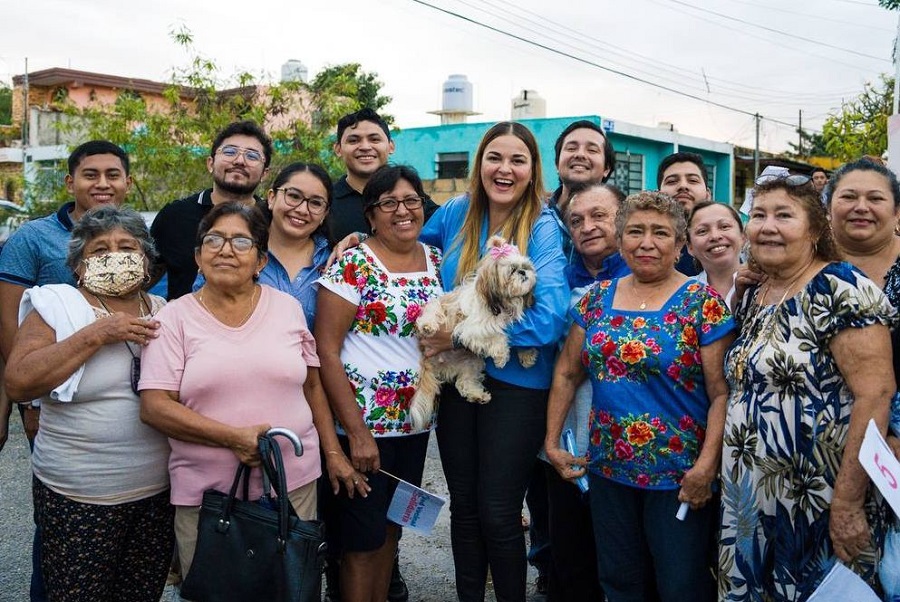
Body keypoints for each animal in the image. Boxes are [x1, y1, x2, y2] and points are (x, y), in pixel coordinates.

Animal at [412, 234, 536, 426]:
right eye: (512, 270)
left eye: (525, 267)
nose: (523, 272)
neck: (501, 303)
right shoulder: (470, 328)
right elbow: (498, 336)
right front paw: (502, 356)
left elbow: (521, 337)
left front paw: (528, 354)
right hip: (437, 307)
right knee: (431, 313)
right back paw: (428, 326)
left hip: (472, 363)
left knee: (465, 382)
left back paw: (478, 396)